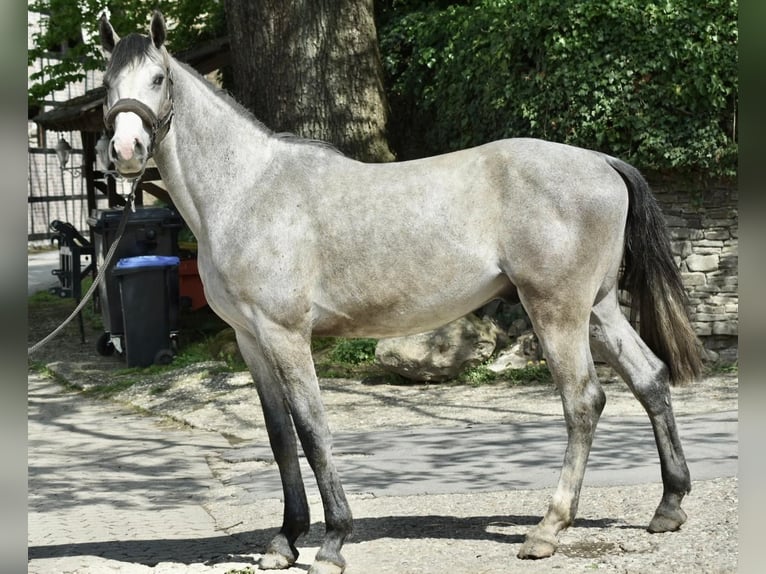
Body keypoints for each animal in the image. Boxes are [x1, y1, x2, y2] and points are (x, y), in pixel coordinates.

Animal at [98, 11, 702, 574]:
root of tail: (602, 161)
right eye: (108, 82)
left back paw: (548, 529)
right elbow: (279, 437)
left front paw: (332, 542)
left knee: (583, 401)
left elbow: (313, 430)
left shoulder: (286, 335)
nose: (125, 149)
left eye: (157, 78)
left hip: (557, 311)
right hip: (597, 309)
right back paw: (668, 506)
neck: (249, 189)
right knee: (650, 378)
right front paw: (285, 540)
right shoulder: (251, 340)